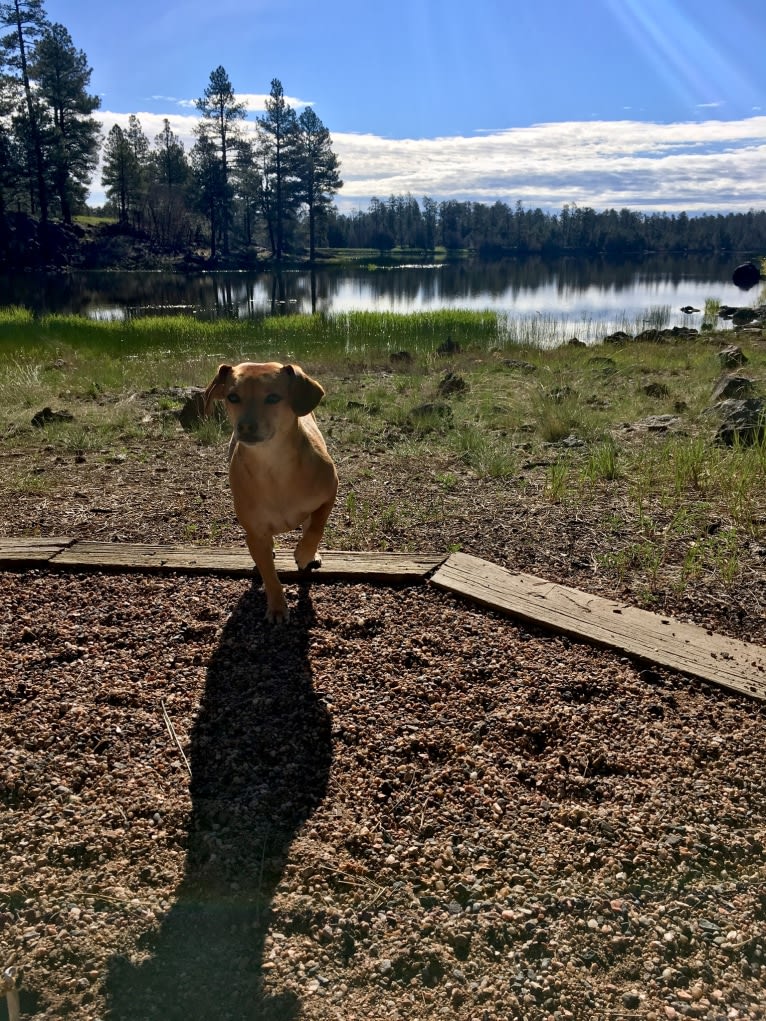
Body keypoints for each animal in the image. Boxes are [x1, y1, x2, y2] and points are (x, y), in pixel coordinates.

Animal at [204, 363, 339, 624]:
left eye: (273, 397)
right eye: (232, 397)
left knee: (310, 524)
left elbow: (317, 526)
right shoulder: (255, 535)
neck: (273, 465)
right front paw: (277, 607)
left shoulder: (330, 492)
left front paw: (304, 552)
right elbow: (270, 576)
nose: (245, 426)